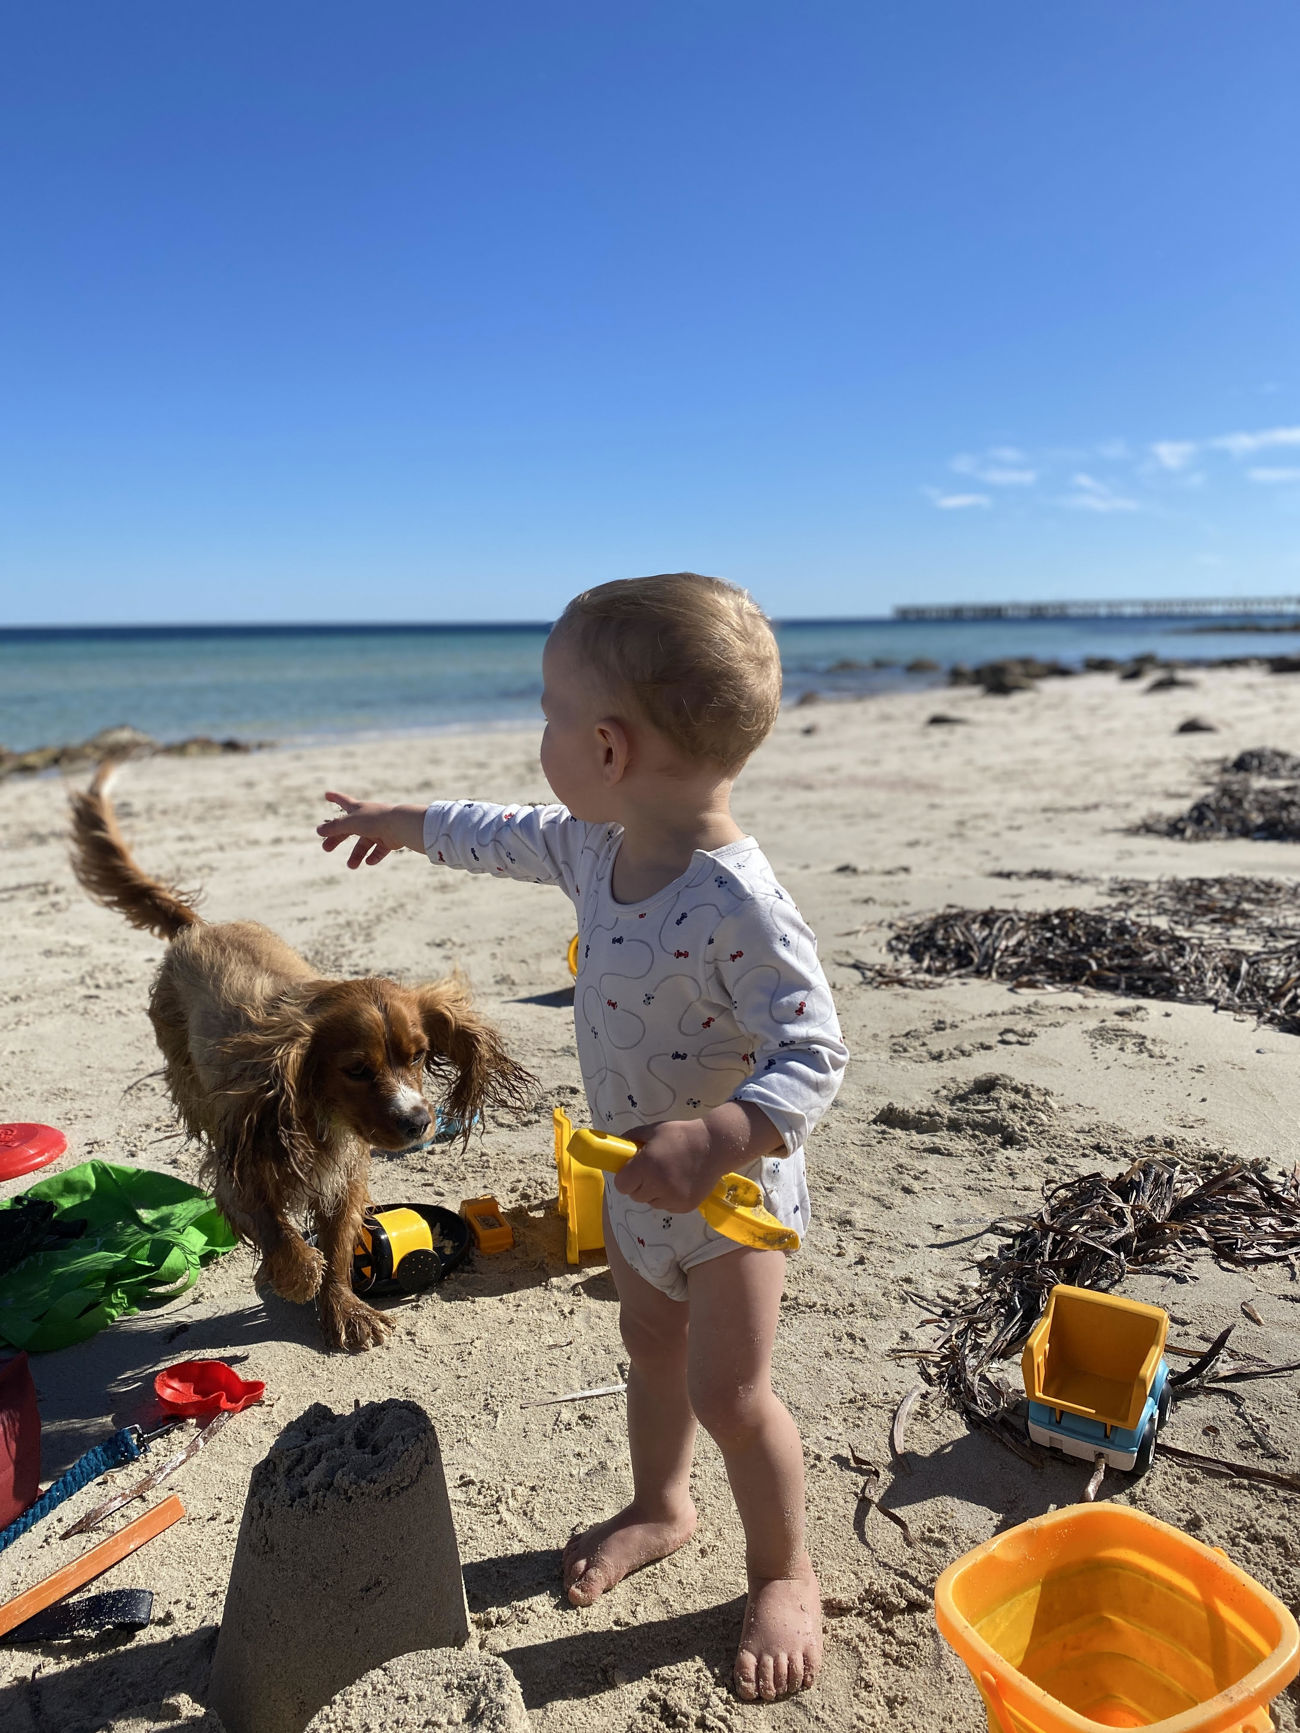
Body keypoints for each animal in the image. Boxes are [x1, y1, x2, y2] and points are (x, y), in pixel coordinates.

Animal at [67, 772, 530, 1351]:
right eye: (356, 1069)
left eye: (419, 1056)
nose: (418, 1122)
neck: (315, 1115)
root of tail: (198, 927)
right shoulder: (239, 1170)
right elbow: (281, 1235)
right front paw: (294, 1276)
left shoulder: (346, 1174)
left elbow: (337, 1244)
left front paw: (344, 1308)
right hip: (189, 1081)